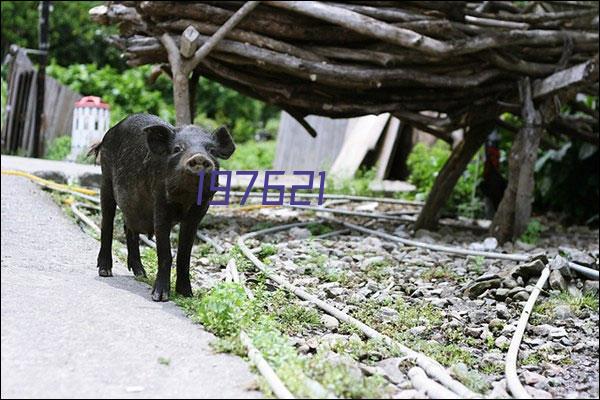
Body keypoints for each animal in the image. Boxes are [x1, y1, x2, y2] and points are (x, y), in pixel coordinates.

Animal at [90, 112, 236, 300]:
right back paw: (105, 271)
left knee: (128, 227)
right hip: (105, 180)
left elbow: (184, 254)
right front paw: (159, 297)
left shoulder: (199, 212)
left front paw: (187, 294)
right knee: (107, 222)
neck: (185, 199)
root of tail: (108, 134)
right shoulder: (160, 205)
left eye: (212, 151)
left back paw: (141, 274)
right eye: (178, 149)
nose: (199, 157)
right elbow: (165, 252)